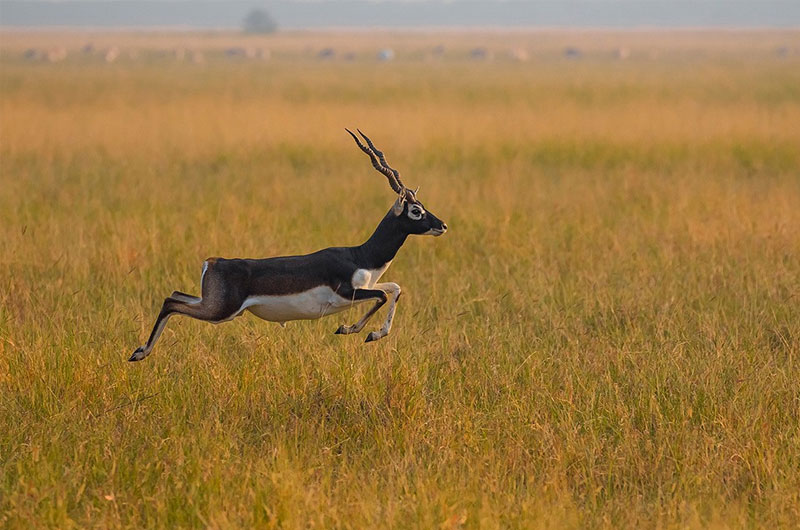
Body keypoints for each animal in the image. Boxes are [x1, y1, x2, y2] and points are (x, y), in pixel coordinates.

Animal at [128, 129, 446, 358]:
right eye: (415, 211)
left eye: (422, 206)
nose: (442, 225)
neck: (362, 256)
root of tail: (214, 262)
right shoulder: (348, 291)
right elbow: (381, 296)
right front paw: (350, 329)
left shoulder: (368, 284)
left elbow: (395, 289)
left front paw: (373, 333)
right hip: (221, 311)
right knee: (170, 302)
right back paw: (140, 352)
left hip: (214, 304)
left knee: (174, 294)